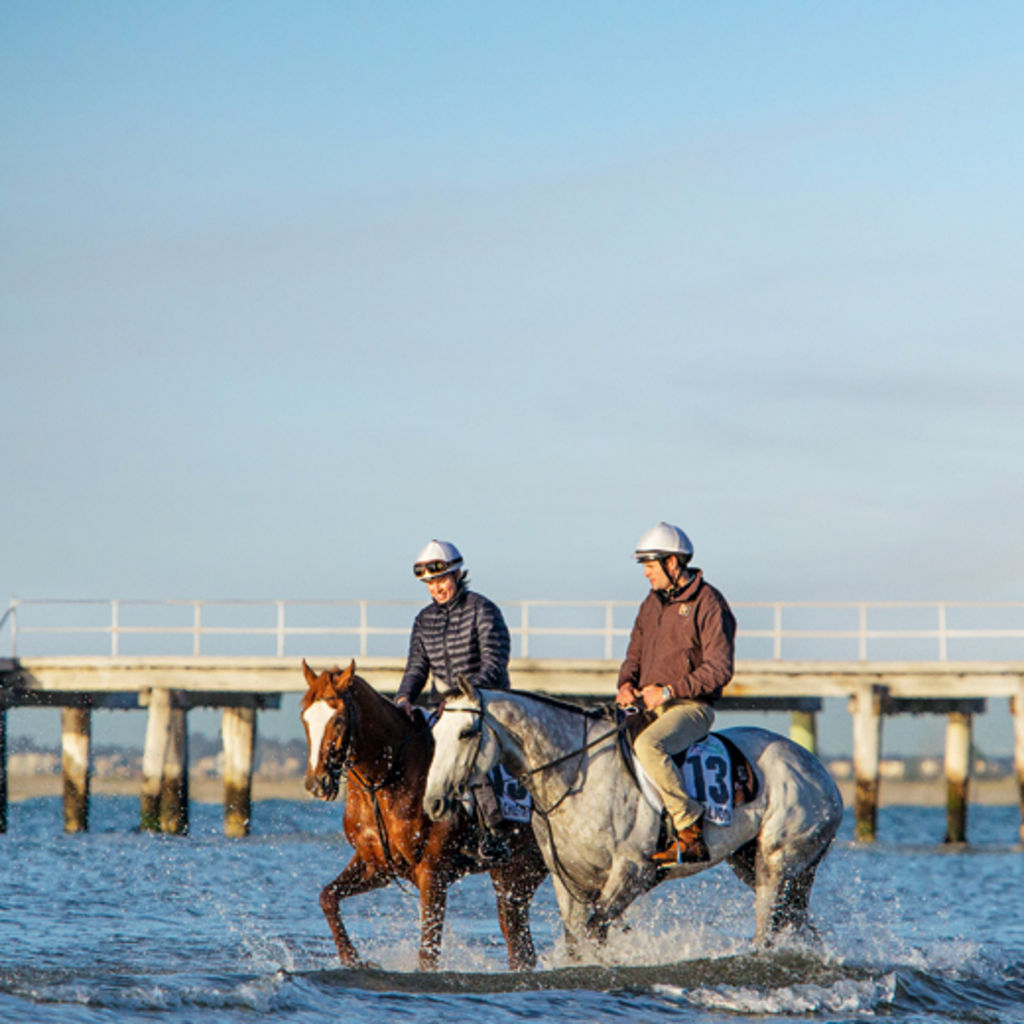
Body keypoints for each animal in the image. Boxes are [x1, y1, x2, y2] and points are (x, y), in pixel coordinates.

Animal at [299, 659, 548, 970]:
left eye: (339, 719)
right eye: (305, 718)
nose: (316, 783)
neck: (389, 780)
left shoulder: (432, 873)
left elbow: (428, 955)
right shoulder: (376, 866)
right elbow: (327, 897)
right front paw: (353, 959)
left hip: (521, 873)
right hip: (513, 877)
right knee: (520, 946)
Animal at [419, 679, 843, 958]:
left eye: (466, 733)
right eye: (434, 734)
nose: (434, 803)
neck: (578, 773)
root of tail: (822, 775)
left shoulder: (631, 873)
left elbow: (595, 933)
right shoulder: (570, 882)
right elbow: (577, 941)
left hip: (776, 865)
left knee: (766, 934)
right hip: (764, 869)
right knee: (799, 928)